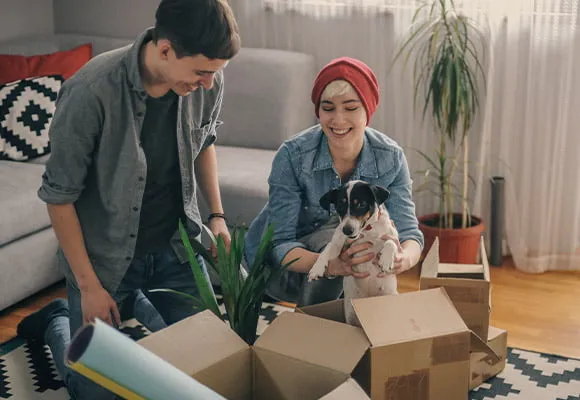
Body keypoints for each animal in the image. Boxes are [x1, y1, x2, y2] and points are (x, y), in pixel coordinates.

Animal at [308, 180, 398, 326]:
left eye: (361, 204)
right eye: (340, 205)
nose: (347, 230)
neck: (366, 231)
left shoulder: (391, 235)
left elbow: (391, 243)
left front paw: (385, 261)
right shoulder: (338, 244)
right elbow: (327, 249)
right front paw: (316, 269)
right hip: (349, 314)